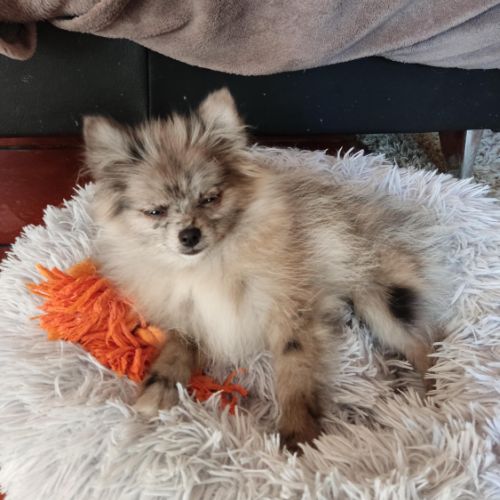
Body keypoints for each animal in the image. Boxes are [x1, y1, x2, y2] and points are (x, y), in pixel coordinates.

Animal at [83, 89, 448, 452]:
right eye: (155, 212)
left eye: (210, 199)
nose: (189, 235)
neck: (210, 262)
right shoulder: (192, 315)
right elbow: (177, 349)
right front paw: (159, 388)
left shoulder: (291, 313)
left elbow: (294, 370)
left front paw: (298, 433)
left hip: (378, 298)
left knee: (425, 341)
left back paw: (434, 395)